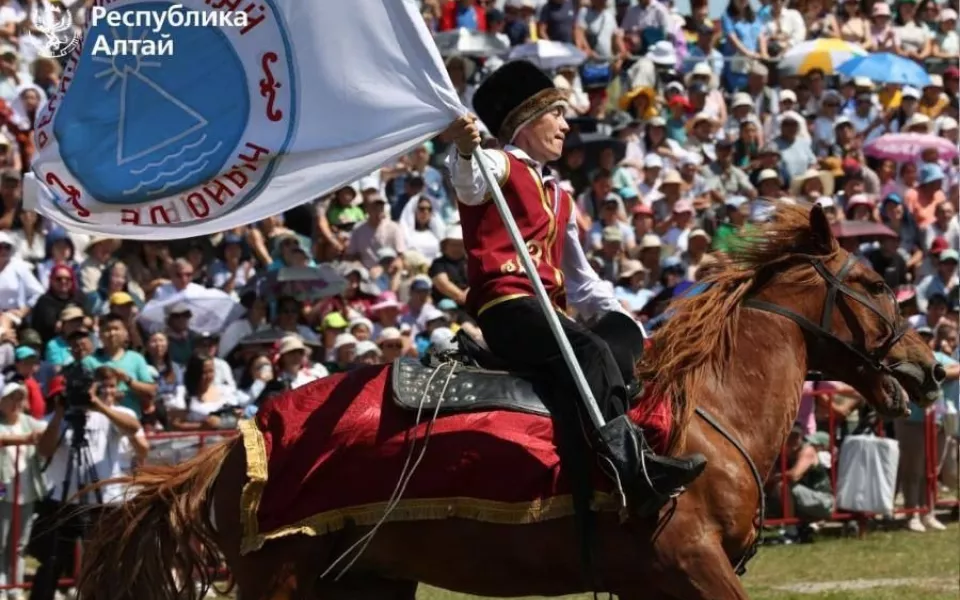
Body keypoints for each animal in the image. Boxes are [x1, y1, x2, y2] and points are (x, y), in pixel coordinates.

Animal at [77, 204, 944, 596]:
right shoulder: (689, 565)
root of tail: (234, 447)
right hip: (281, 579)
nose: (930, 367)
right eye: (872, 283)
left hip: (366, 578)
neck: (703, 422)